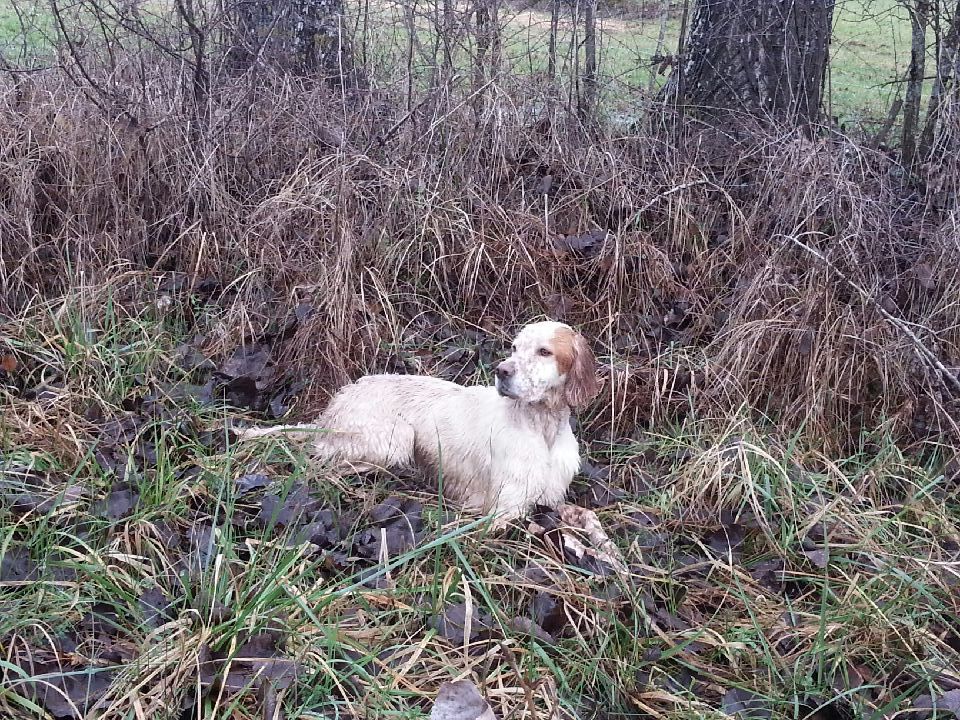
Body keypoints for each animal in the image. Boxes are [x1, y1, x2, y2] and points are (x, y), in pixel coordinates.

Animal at [236, 320, 600, 524]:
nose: (501, 371)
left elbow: (591, 518)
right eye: (514, 348)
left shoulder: (553, 500)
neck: (543, 427)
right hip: (395, 440)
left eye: (544, 352)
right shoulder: (503, 510)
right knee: (324, 465)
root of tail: (333, 407)